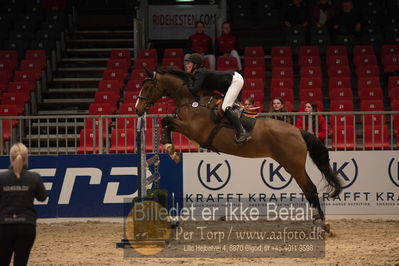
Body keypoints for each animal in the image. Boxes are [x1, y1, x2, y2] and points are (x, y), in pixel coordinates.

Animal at [136, 66, 342, 227]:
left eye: (147, 86)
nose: (137, 109)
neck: (192, 101)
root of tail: (299, 132)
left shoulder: (193, 129)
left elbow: (166, 120)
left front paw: (170, 149)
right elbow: (167, 121)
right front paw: (171, 149)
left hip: (294, 166)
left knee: (310, 189)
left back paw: (320, 223)